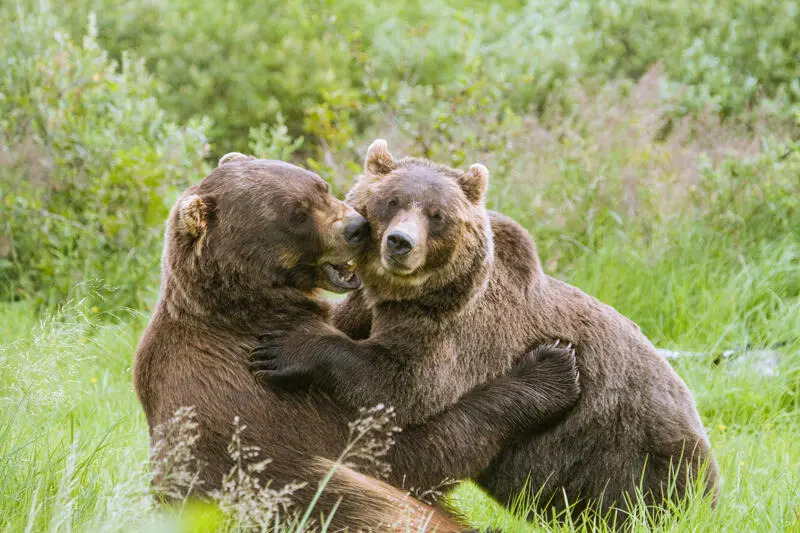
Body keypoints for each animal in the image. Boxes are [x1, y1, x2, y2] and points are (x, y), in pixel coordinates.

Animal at [133, 152, 580, 528]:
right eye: (296, 213)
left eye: (322, 186)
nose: (356, 228)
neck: (248, 309)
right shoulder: (260, 398)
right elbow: (402, 453)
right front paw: (551, 370)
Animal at [250, 138, 720, 524]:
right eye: (391, 201)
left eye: (436, 214)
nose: (400, 243)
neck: (400, 296)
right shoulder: (368, 305)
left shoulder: (460, 333)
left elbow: (398, 383)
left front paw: (288, 349)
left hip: (634, 455)